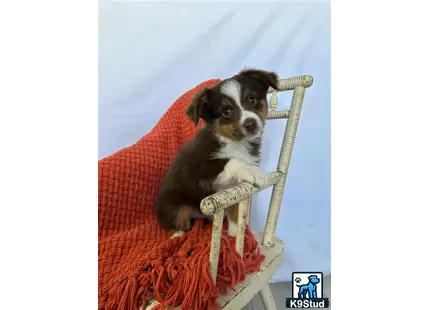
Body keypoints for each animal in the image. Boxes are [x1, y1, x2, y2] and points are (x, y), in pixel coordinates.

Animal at [155, 68, 278, 237]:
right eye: (226, 112)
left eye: (251, 99)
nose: (251, 124)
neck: (235, 142)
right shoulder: (199, 168)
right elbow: (230, 161)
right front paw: (253, 172)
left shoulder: (234, 188)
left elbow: (235, 211)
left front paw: (235, 234)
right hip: (175, 206)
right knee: (174, 222)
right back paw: (177, 234)